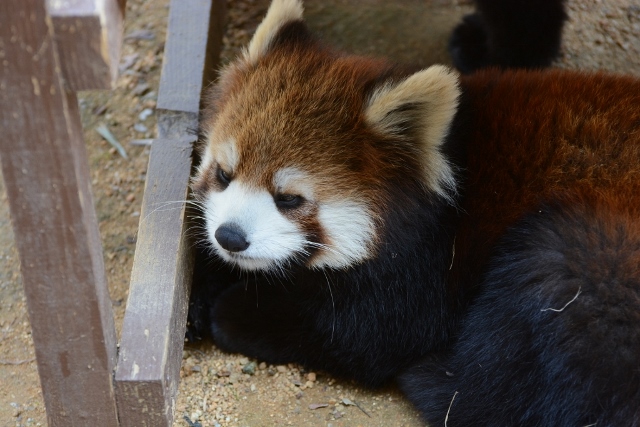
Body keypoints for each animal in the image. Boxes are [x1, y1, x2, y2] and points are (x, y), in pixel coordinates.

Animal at [190, 0, 640, 426]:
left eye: (288, 199)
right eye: (224, 174)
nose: (230, 237)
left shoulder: (434, 265)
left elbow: (371, 334)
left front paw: (237, 311)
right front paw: (201, 288)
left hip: (587, 250)